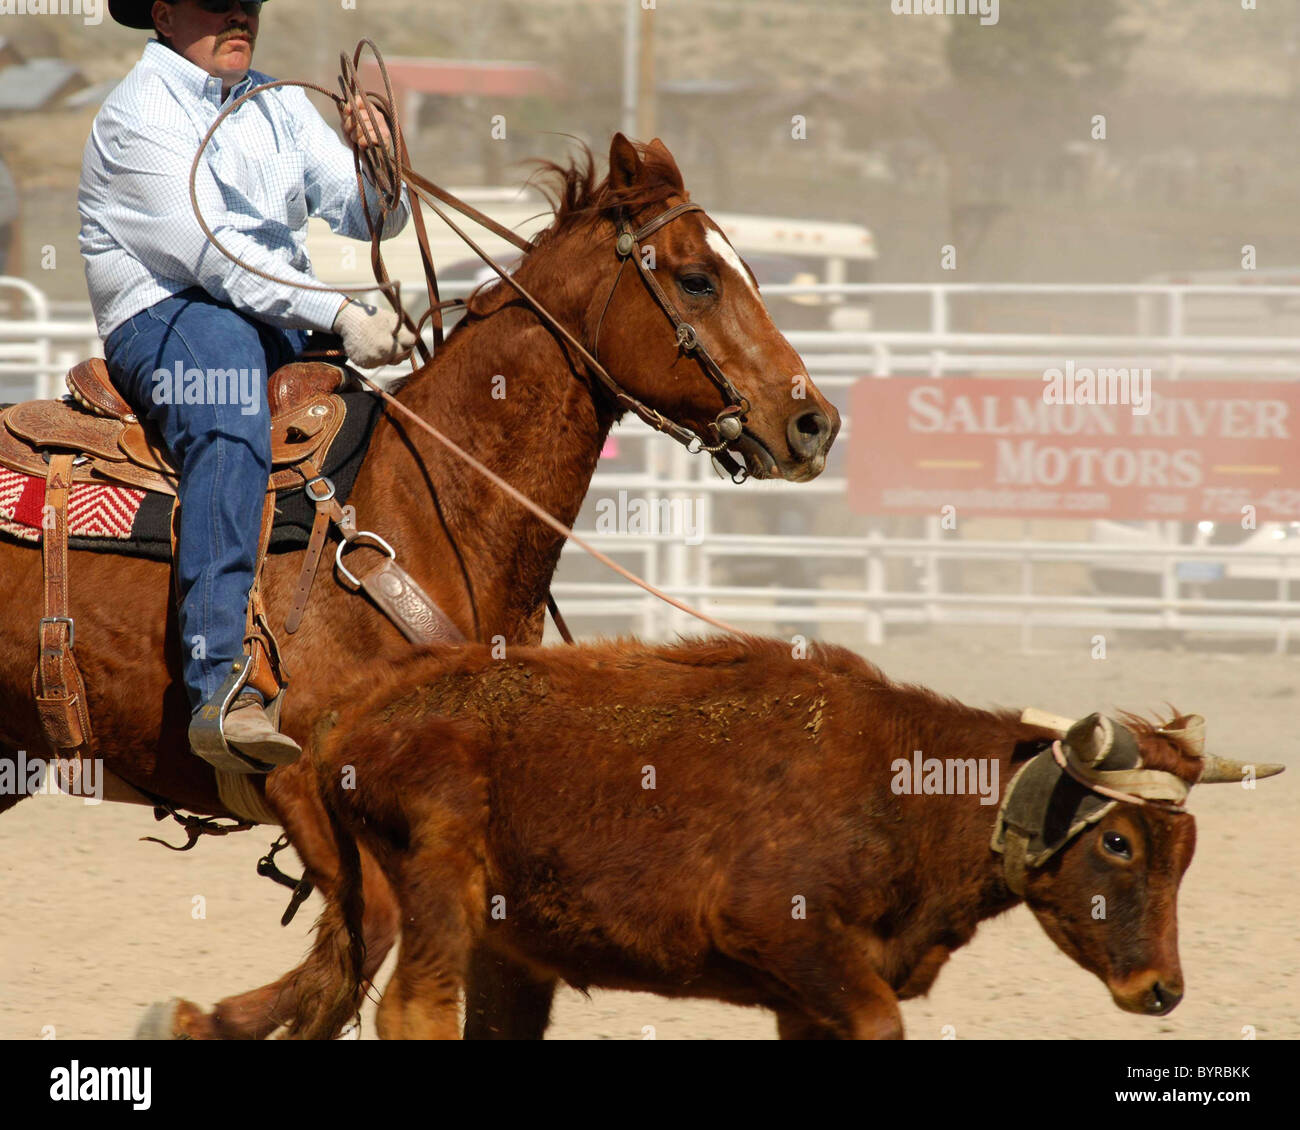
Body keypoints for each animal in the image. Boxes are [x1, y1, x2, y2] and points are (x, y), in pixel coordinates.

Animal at [0, 133, 839, 1038]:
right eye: (697, 278)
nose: (814, 423)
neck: (424, 501)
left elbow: (356, 958)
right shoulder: (303, 779)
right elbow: (362, 941)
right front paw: (192, 1017)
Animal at [286, 636, 1283, 1039]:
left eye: (1186, 854)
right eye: (1118, 844)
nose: (1161, 990)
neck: (905, 790)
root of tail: (358, 713)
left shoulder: (808, 995)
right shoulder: (783, 933)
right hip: (439, 882)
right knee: (414, 1010)